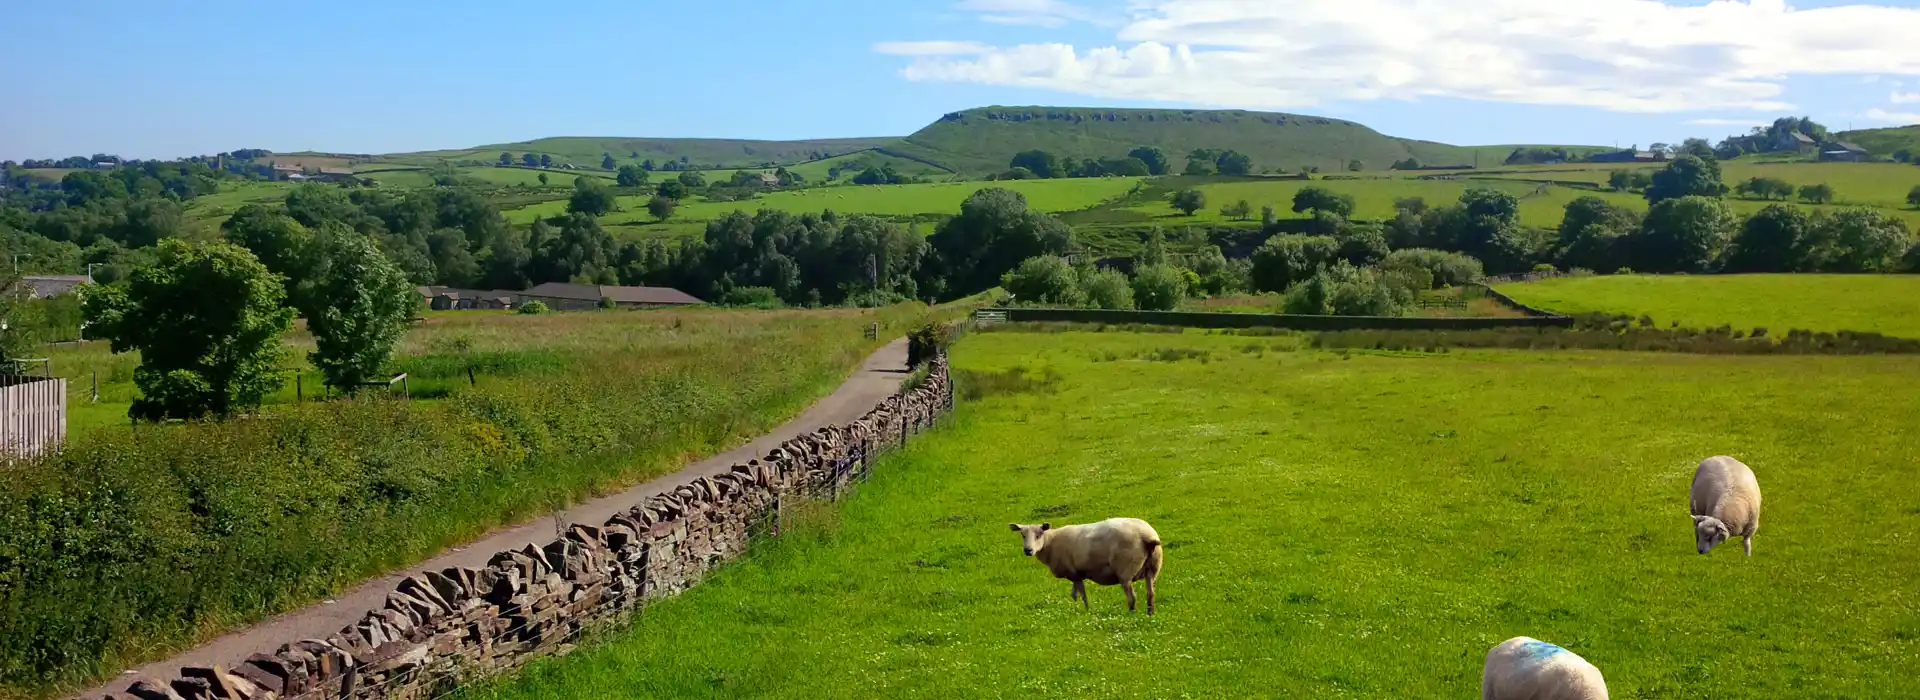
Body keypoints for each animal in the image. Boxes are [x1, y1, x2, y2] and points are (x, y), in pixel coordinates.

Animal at [1013, 513, 1159, 613]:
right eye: (1022, 535)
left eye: (1039, 535)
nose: (1028, 550)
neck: (1050, 542)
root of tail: (1145, 535)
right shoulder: (1074, 574)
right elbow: (1074, 595)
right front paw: (1076, 609)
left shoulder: (1074, 574)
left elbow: (1083, 596)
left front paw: (1086, 611)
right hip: (1152, 568)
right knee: (1150, 594)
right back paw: (1149, 614)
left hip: (1125, 571)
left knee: (1132, 597)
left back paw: (1131, 614)